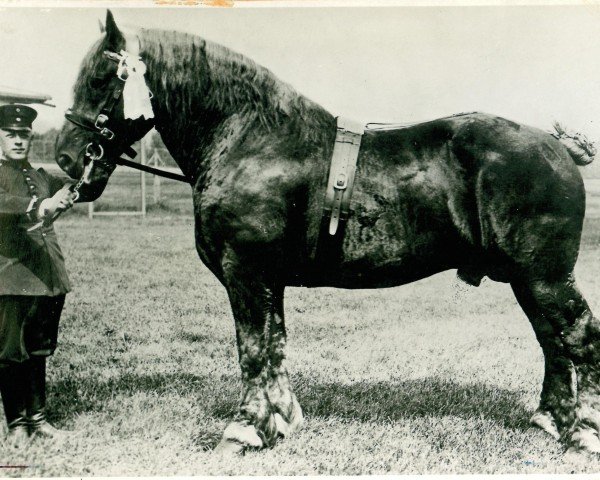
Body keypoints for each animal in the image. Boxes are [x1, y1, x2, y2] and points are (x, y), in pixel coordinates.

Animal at [55, 9, 600, 456]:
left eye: (102, 78)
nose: (65, 157)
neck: (251, 139)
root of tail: (558, 146)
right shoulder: (267, 279)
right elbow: (274, 345)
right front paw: (280, 421)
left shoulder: (245, 272)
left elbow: (252, 348)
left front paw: (243, 430)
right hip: (527, 279)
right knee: (553, 343)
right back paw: (550, 422)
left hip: (545, 277)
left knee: (581, 338)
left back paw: (584, 436)